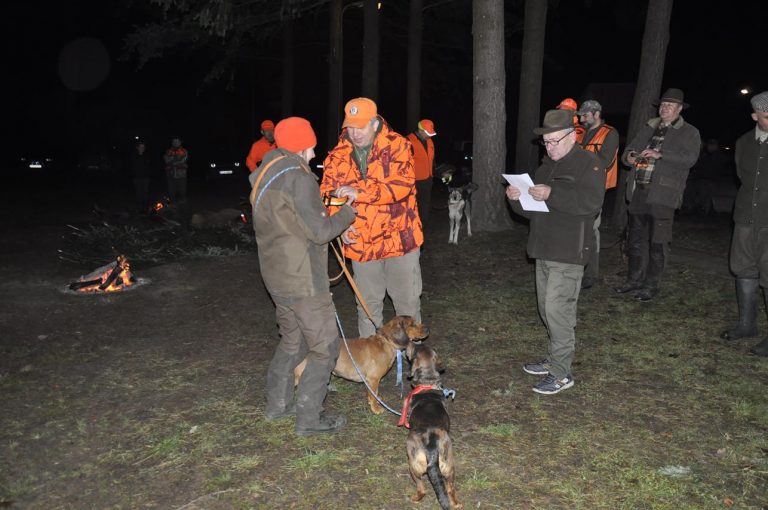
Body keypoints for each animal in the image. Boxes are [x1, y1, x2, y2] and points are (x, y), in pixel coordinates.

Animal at [294, 314, 428, 414]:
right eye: (413, 324)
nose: (428, 329)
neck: (386, 342)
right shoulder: (373, 379)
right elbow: (373, 396)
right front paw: (376, 408)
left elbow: (374, 393)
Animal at [400, 342, 460, 510]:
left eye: (414, 350)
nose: (410, 342)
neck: (427, 383)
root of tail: (432, 450)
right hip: (448, 466)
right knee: (450, 488)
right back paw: (456, 503)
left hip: (414, 466)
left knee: (422, 488)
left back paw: (415, 498)